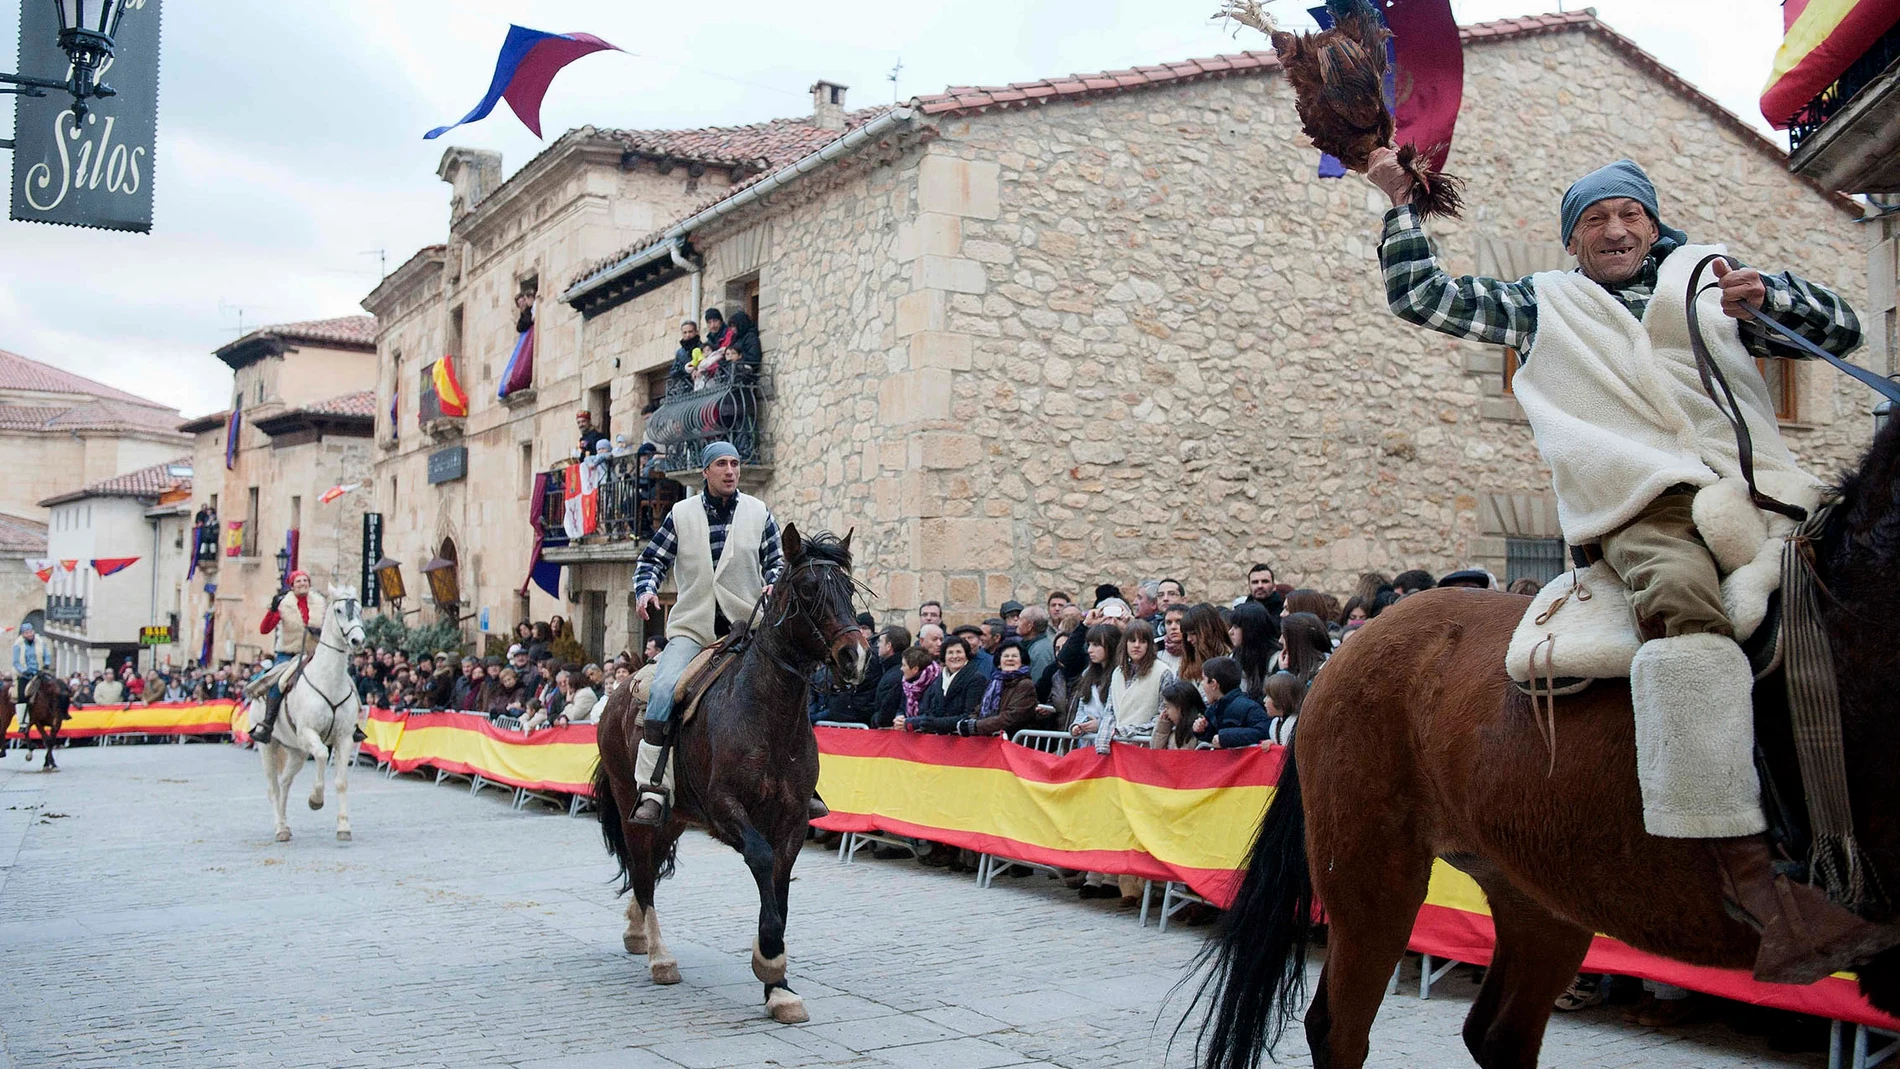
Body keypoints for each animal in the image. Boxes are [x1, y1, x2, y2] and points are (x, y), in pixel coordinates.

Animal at [258, 584, 364, 846]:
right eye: (338, 610)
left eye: (359, 608)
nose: (358, 639)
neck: (328, 680)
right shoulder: (309, 734)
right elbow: (322, 755)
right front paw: (315, 800)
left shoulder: (344, 738)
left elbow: (341, 781)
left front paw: (343, 827)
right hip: (268, 747)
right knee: (274, 787)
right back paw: (279, 828)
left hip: (296, 751)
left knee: (285, 783)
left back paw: (285, 826)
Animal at [592, 524, 870, 1025]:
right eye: (808, 588)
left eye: (848, 587)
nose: (854, 655)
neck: (768, 714)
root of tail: (618, 691)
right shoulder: (727, 810)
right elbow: (761, 861)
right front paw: (769, 962)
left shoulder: (793, 819)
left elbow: (779, 886)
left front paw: (779, 988)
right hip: (631, 807)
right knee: (642, 872)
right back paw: (659, 956)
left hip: (674, 816)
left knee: (651, 868)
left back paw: (636, 932)